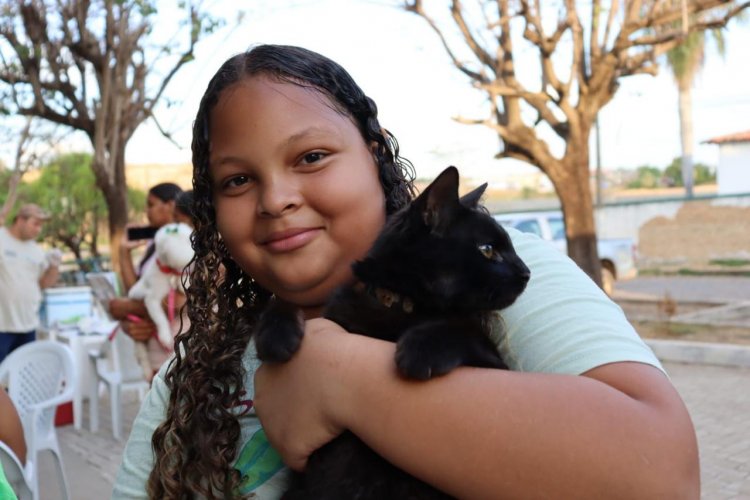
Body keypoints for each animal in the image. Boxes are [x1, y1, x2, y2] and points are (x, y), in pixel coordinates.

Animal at [129, 223, 194, 378]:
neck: (168, 272)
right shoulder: (152, 299)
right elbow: (160, 318)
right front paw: (165, 336)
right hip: (138, 337)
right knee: (142, 354)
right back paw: (146, 370)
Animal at [256, 166, 532, 498]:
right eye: (488, 250)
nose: (526, 273)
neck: (400, 304)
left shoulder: (497, 364)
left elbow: (462, 330)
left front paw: (421, 349)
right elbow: (283, 303)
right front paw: (276, 337)